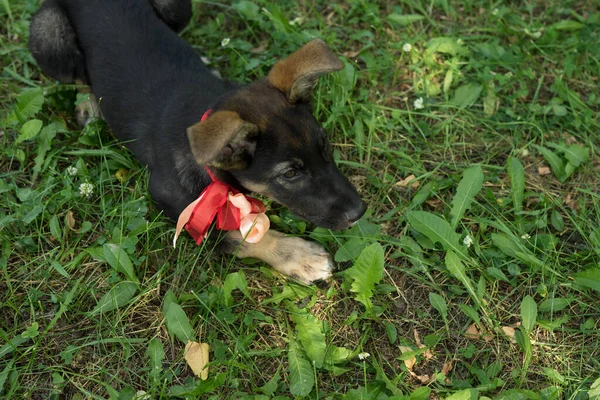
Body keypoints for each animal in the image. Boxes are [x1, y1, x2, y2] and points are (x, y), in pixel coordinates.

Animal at [29, 0, 366, 282]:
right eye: (291, 174)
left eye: (326, 147)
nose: (360, 212)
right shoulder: (170, 200)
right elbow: (239, 236)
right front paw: (299, 256)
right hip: (48, 31)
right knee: (78, 75)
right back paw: (90, 105)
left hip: (177, 6)